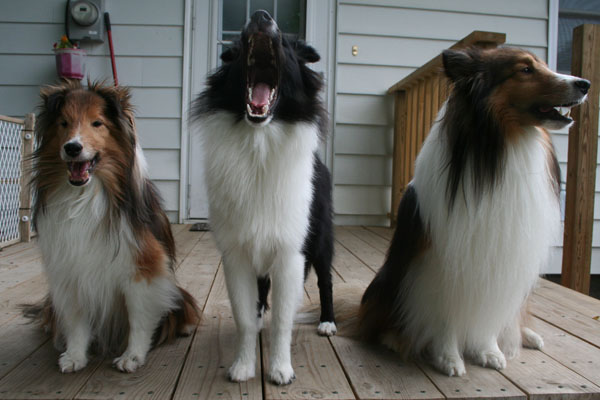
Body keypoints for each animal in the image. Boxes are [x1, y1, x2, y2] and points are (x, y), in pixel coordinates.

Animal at [28, 80, 199, 373]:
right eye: (63, 123)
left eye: (97, 123)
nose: (72, 147)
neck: (85, 196)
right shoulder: (70, 269)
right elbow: (76, 319)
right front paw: (75, 355)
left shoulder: (142, 268)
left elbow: (138, 317)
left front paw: (133, 355)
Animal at [192, 10, 335, 385]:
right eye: (239, 47)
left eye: (285, 42)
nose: (259, 16)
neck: (259, 143)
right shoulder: (237, 255)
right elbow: (244, 314)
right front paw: (243, 366)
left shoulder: (290, 253)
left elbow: (283, 320)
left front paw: (281, 369)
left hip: (321, 239)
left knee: (325, 280)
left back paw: (327, 322)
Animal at [359, 47, 589, 376]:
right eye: (525, 70)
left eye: (544, 65)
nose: (585, 84)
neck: (503, 150)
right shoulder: (440, 263)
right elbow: (445, 315)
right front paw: (448, 358)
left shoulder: (502, 264)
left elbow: (490, 316)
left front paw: (488, 351)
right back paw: (393, 338)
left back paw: (527, 335)